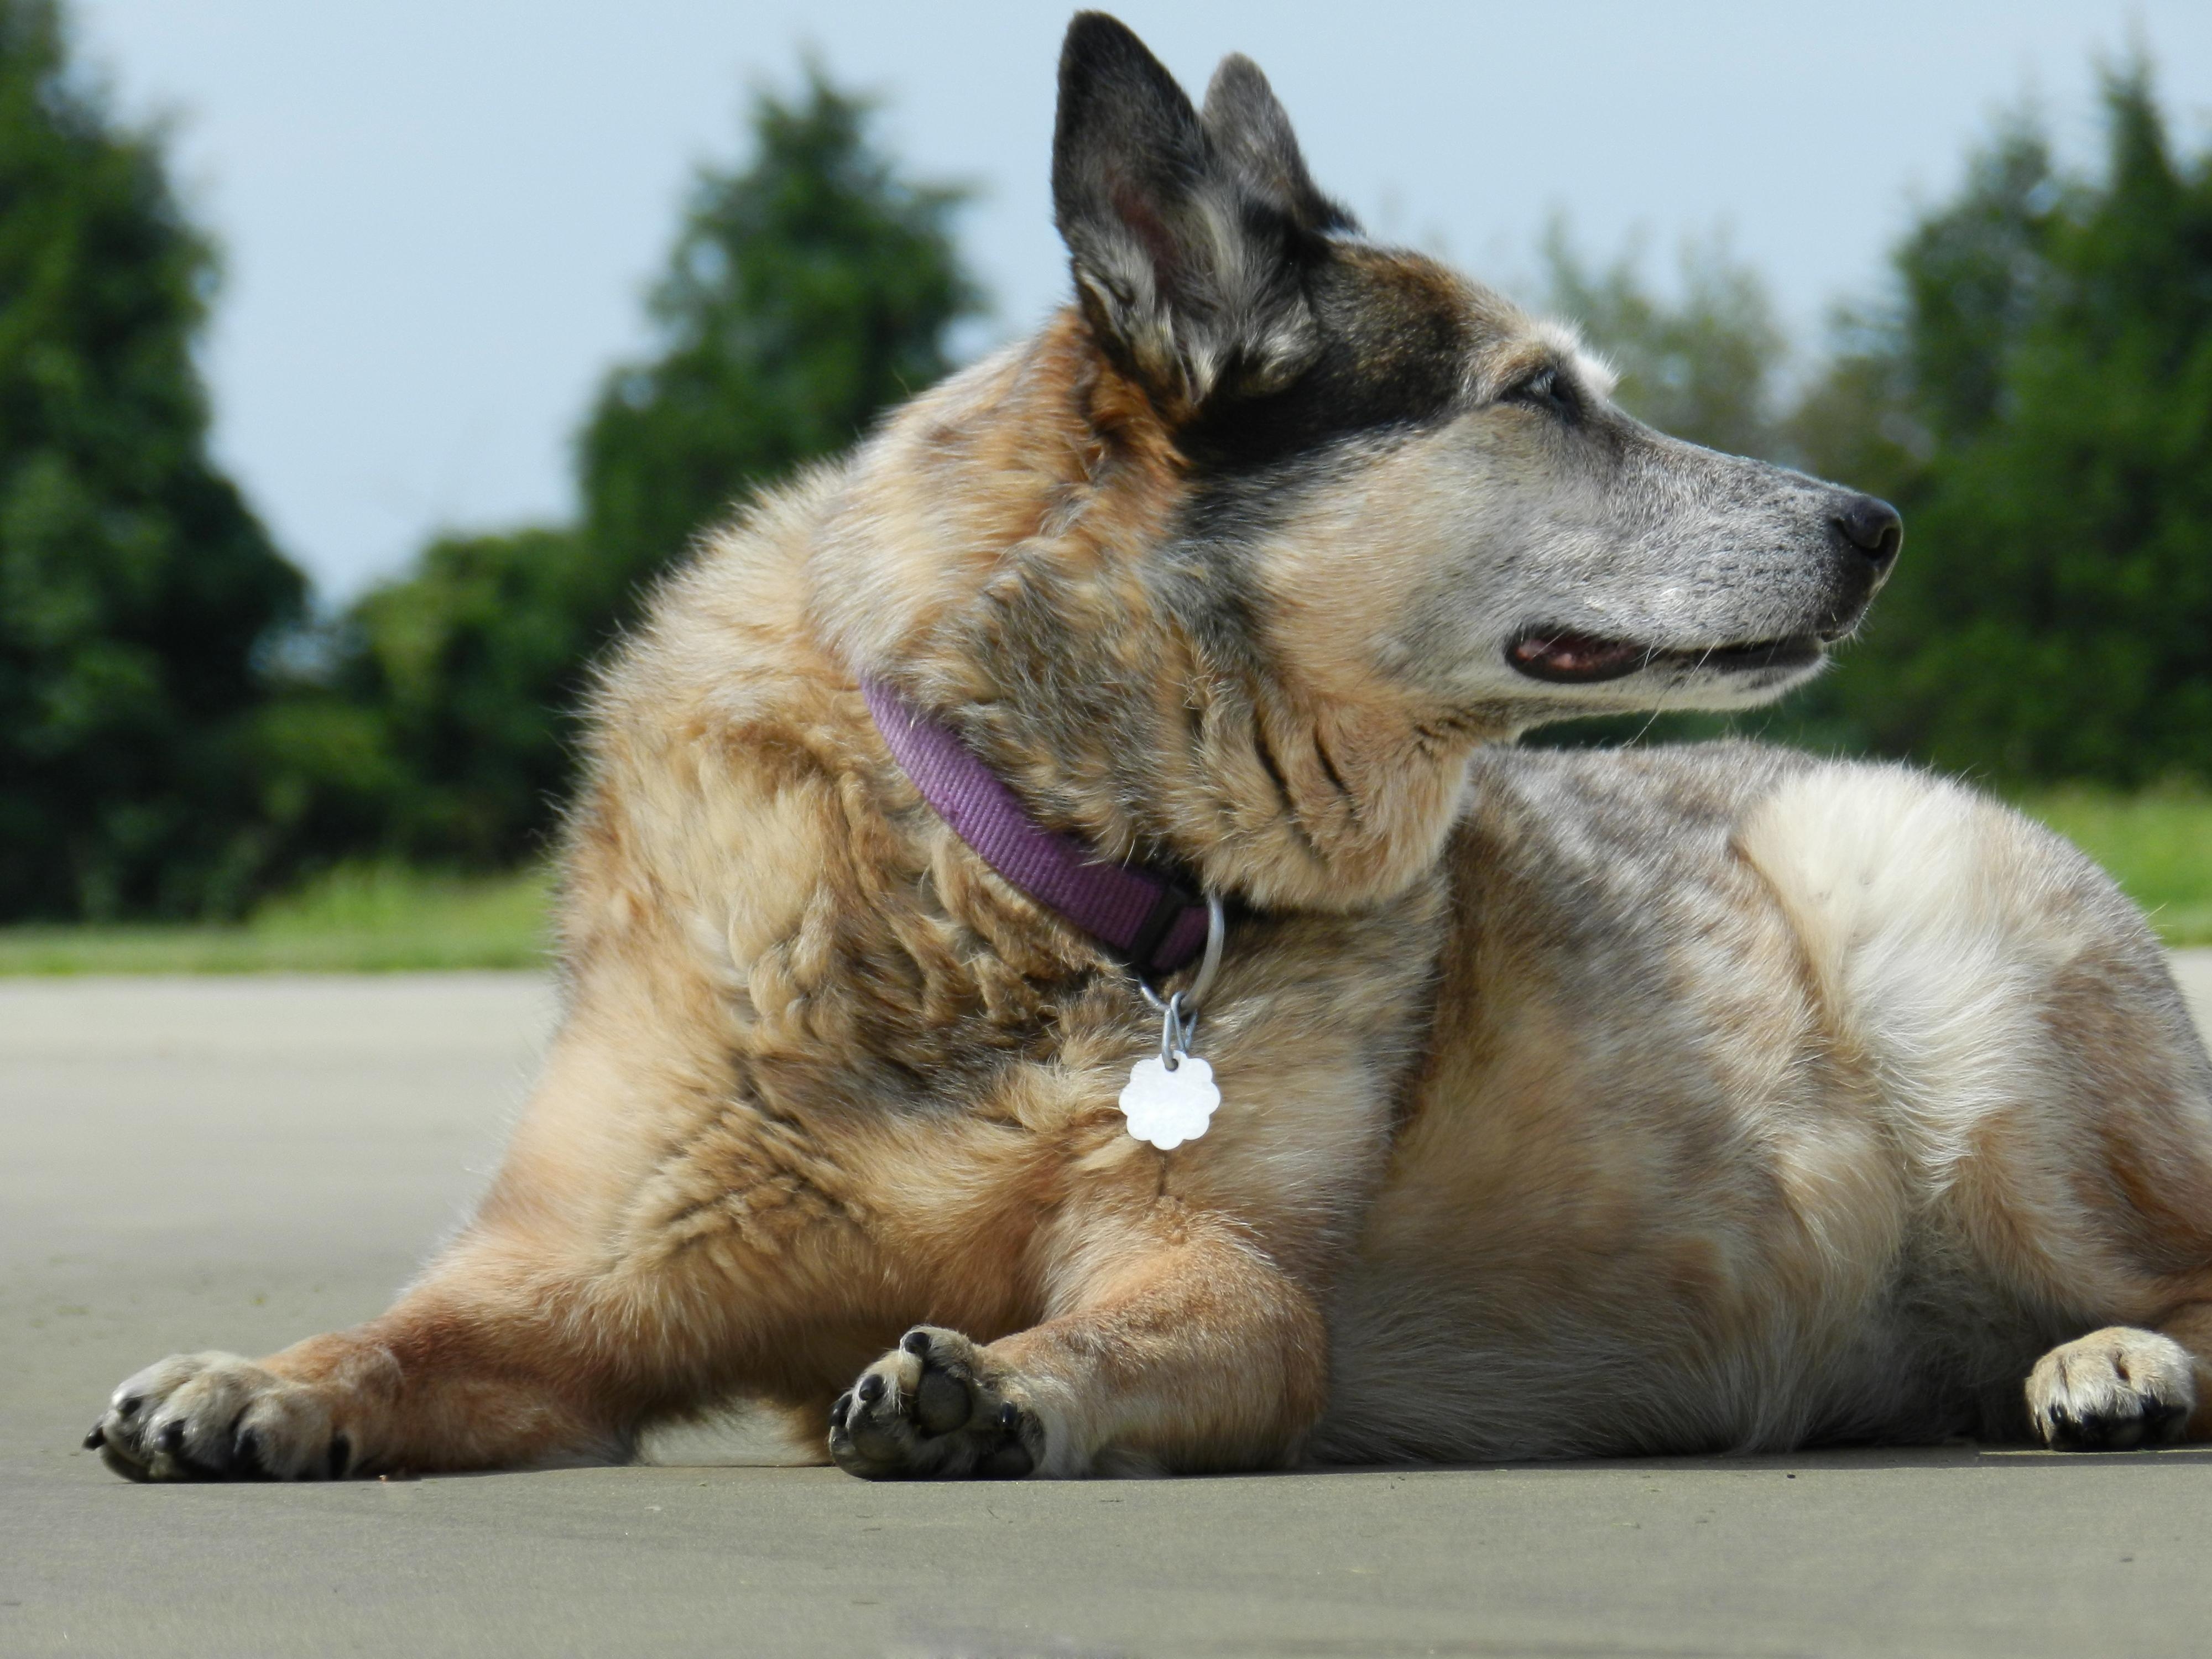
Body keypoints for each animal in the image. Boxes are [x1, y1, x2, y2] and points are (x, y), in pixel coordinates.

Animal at [95, 9, 2212, 1495]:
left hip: (1964, 1004)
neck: (1022, 866)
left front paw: (993, 1383)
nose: (1877, 525)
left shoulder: (1223, 1281)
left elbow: (1125, 1332)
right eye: (1540, 400)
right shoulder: (561, 1294)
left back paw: (2120, 1367)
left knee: (2179, 1272)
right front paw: (261, 1377)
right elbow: (406, 1337)